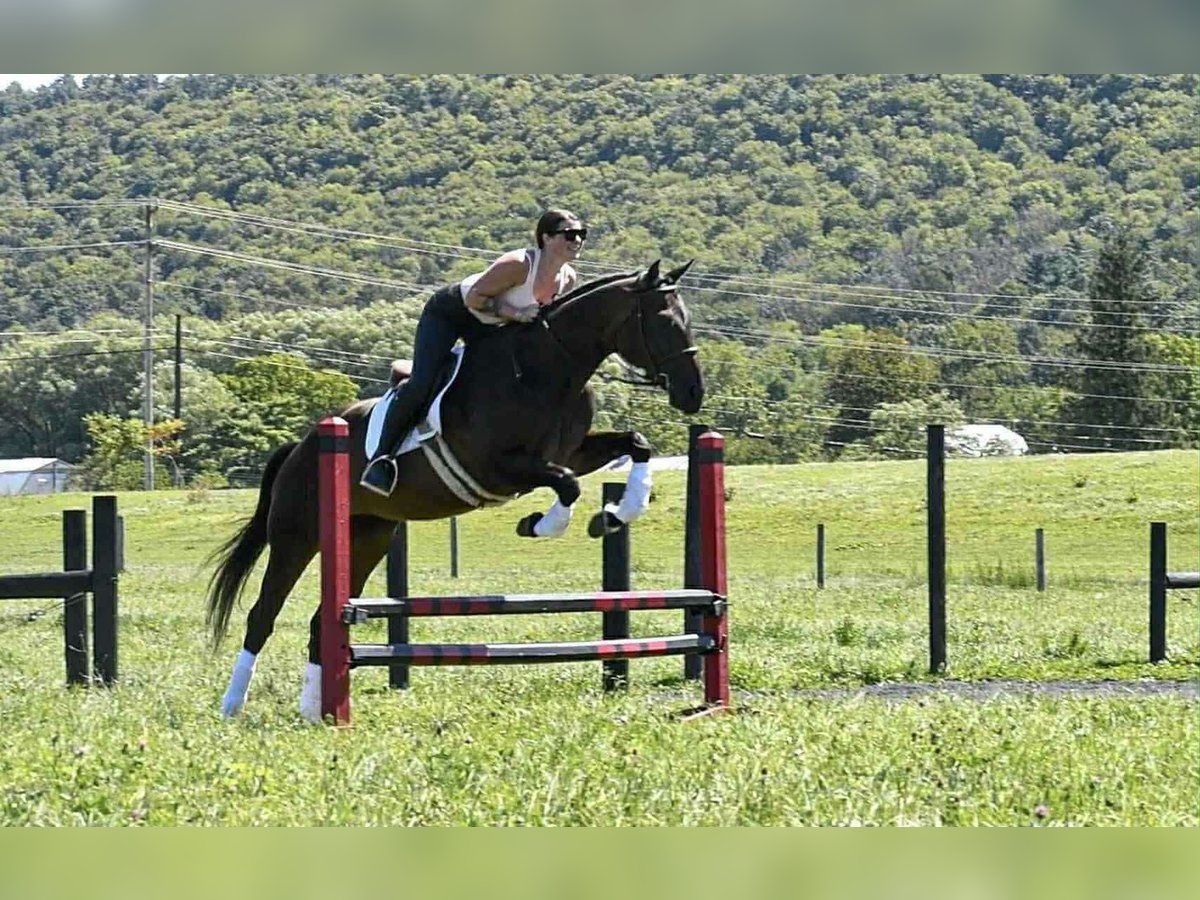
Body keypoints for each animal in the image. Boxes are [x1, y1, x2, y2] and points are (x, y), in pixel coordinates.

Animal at [205, 259, 705, 720]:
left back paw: (317, 712)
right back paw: (233, 704)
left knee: (320, 620)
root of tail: (301, 446)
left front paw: (616, 514)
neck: (549, 367)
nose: (693, 394)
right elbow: (565, 483)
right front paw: (540, 525)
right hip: (298, 536)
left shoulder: (575, 451)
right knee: (263, 613)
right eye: (664, 322)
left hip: (369, 536)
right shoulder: (496, 468)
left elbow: (634, 444)